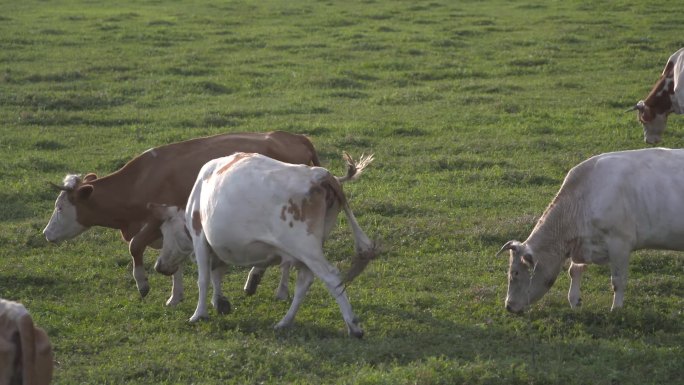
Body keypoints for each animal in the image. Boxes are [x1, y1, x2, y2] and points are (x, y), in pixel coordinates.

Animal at [42, 131, 320, 304]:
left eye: (60, 208)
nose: (46, 234)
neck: (140, 181)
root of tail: (296, 137)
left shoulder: (156, 221)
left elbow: (135, 247)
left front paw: (142, 283)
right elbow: (174, 261)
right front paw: (175, 296)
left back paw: (275, 288)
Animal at [150, 152, 380, 338]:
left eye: (164, 232)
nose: (158, 265)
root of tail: (322, 176)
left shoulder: (199, 237)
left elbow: (203, 279)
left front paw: (199, 314)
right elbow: (217, 274)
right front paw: (220, 302)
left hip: (306, 247)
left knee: (332, 277)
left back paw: (353, 326)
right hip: (309, 250)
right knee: (304, 282)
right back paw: (284, 322)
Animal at [496, 148, 684, 314]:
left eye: (515, 273)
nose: (508, 306)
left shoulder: (620, 243)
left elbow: (618, 280)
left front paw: (616, 309)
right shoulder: (585, 243)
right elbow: (574, 271)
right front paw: (574, 301)